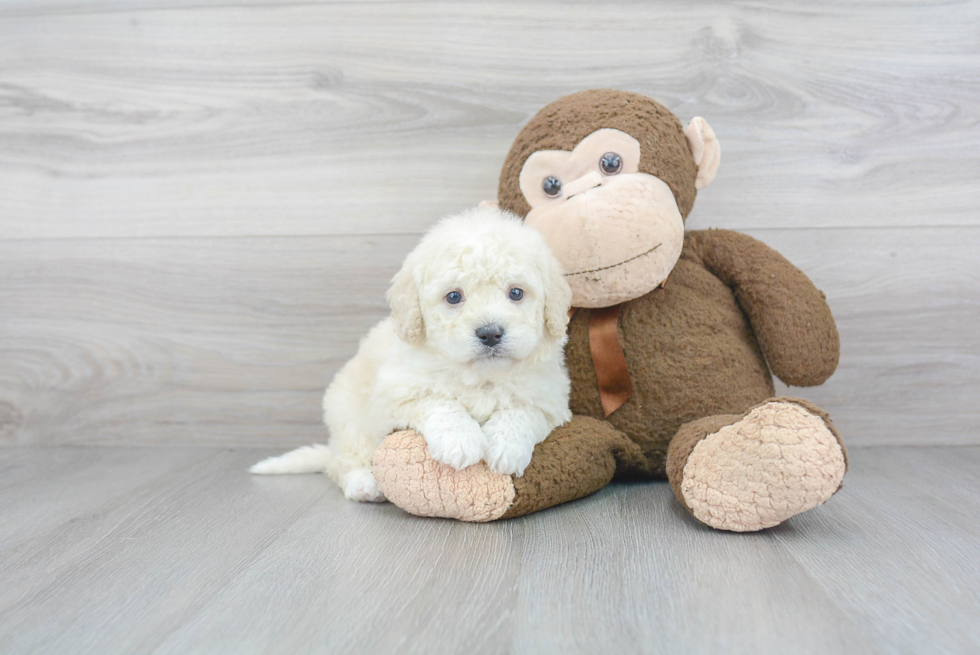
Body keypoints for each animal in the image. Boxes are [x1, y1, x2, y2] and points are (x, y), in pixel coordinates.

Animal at [251, 208, 576, 504]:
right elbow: (438, 402)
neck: (480, 376)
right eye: (454, 296)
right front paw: (460, 441)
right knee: (343, 460)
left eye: (516, 293)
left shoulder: (550, 400)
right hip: (348, 417)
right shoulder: (395, 394)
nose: (490, 333)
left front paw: (506, 447)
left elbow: (522, 412)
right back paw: (363, 483)